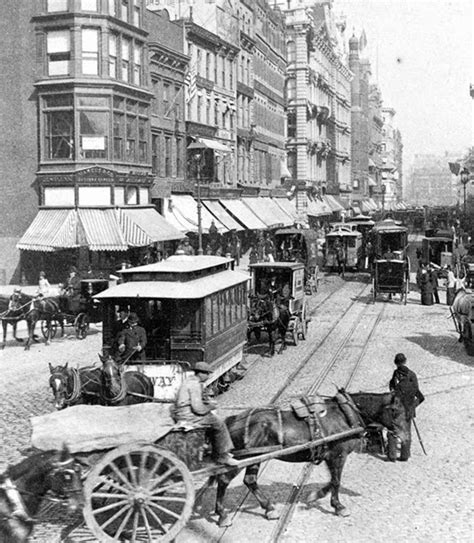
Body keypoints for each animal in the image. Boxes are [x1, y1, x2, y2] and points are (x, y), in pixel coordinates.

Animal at [213, 392, 410, 528]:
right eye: (395, 411)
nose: (406, 437)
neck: (345, 415)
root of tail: (233, 420)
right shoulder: (338, 455)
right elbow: (336, 481)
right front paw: (338, 506)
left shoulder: (329, 457)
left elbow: (332, 481)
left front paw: (316, 495)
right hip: (243, 458)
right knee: (224, 480)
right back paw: (222, 515)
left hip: (255, 458)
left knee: (249, 480)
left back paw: (268, 509)